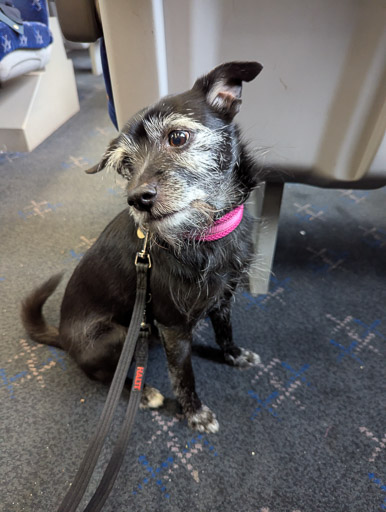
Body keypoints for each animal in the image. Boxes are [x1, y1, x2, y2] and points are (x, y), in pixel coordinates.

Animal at [21, 62, 266, 434]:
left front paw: (234, 356)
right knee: (105, 376)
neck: (206, 232)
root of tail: (62, 335)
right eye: (126, 166)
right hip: (118, 336)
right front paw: (195, 413)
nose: (137, 199)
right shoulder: (173, 326)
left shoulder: (223, 300)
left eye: (177, 137)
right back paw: (145, 391)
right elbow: (183, 375)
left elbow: (225, 333)